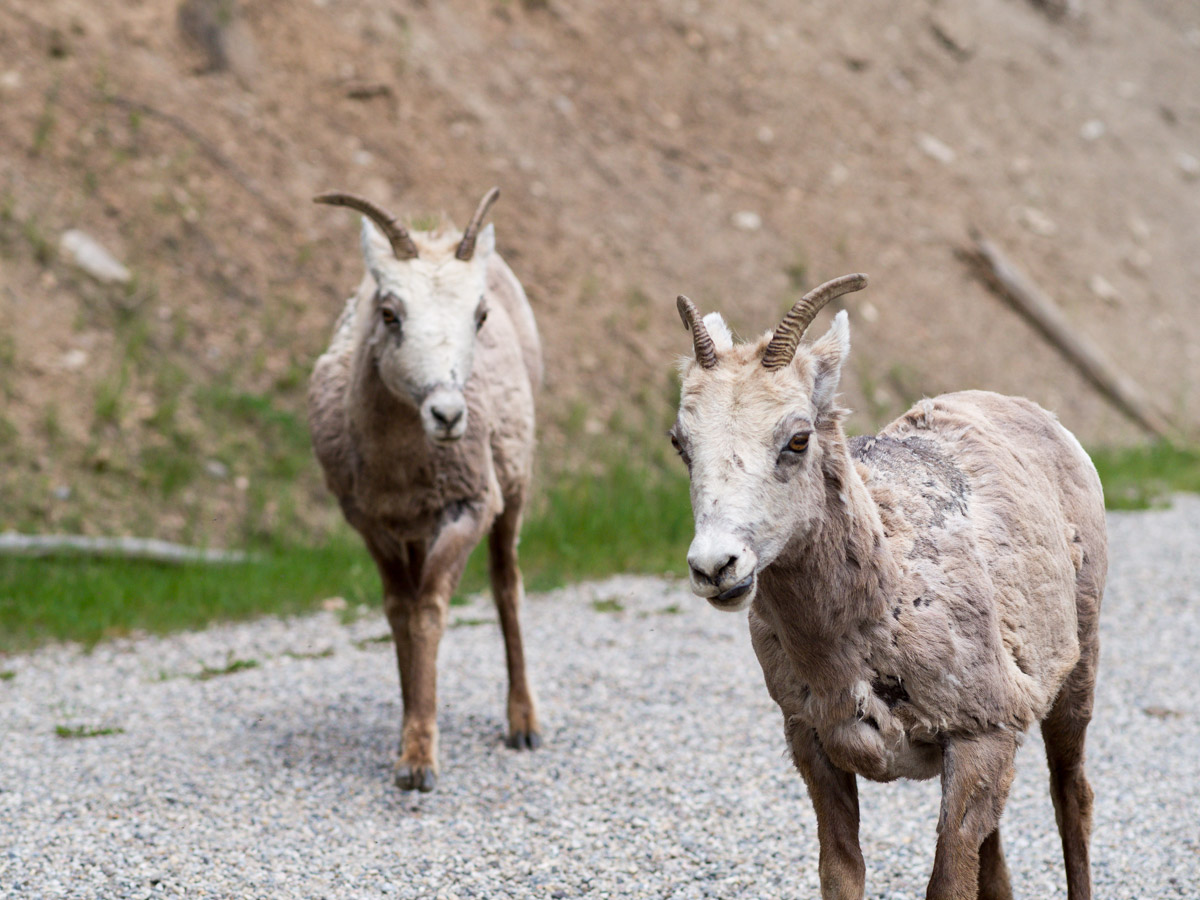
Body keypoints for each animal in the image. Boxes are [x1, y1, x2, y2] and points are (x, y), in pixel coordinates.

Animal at [307, 187, 547, 792]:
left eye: (479, 316)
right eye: (390, 313)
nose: (447, 415)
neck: (397, 468)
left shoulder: (468, 509)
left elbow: (429, 612)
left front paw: (418, 763)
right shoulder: (371, 523)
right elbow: (399, 612)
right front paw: (407, 739)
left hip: (514, 490)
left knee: (506, 588)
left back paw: (524, 726)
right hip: (414, 531)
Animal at [672, 274, 1099, 900]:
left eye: (797, 440)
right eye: (680, 443)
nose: (715, 566)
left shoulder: (978, 738)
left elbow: (947, 882)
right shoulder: (814, 745)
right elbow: (843, 872)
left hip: (1077, 674)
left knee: (1071, 795)